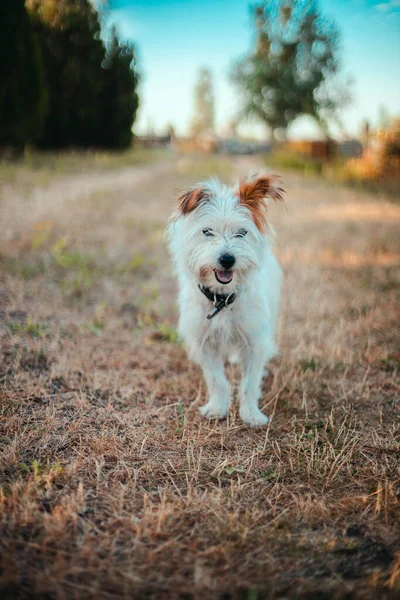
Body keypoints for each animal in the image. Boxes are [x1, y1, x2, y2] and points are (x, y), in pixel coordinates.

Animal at [166, 173, 284, 426]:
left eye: (242, 232)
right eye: (207, 232)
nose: (227, 259)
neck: (221, 299)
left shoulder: (254, 341)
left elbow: (250, 384)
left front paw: (251, 414)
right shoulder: (205, 342)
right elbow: (216, 380)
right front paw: (217, 408)